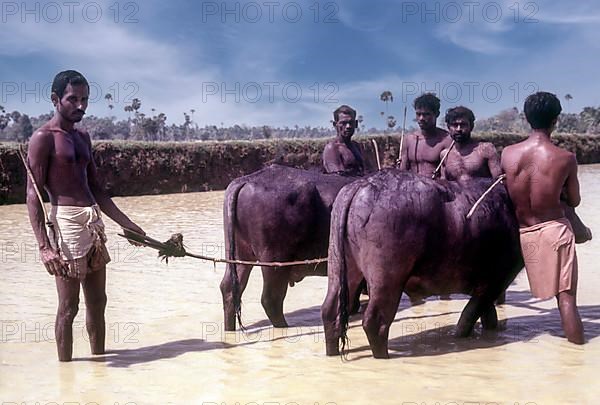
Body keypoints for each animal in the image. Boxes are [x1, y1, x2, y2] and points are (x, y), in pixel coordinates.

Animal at [322, 169, 524, 358]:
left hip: (340, 269)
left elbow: (487, 317)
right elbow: (469, 317)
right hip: (387, 280)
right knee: (375, 321)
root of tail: (361, 184)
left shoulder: (486, 286)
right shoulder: (496, 282)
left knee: (330, 312)